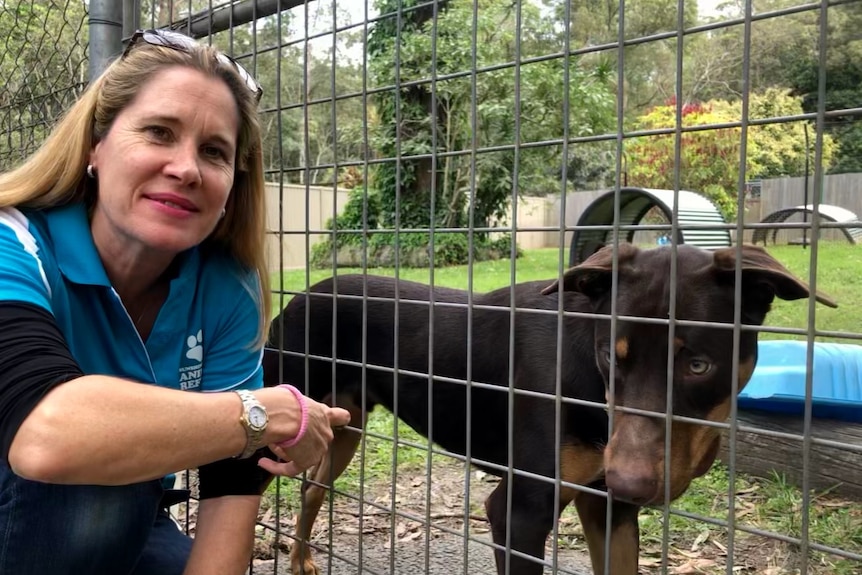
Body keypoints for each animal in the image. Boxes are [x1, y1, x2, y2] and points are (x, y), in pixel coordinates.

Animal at [264, 244, 836, 575]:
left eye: (698, 364)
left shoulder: (608, 506)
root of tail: (298, 297)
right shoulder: (520, 512)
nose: (630, 479)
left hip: (344, 428)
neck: (587, 380)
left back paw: (301, 560)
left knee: (312, 489)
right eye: (610, 355)